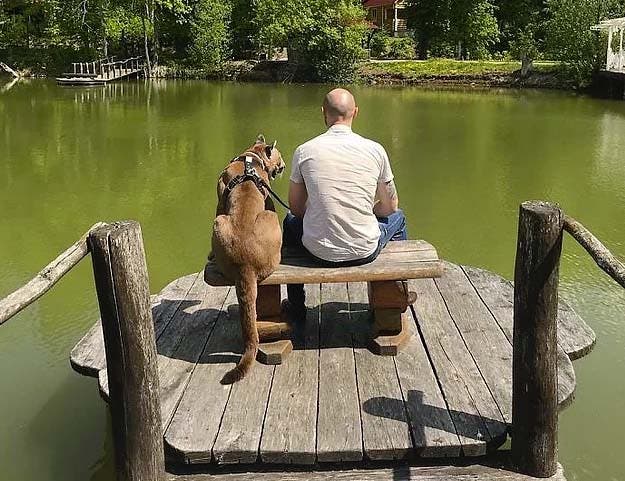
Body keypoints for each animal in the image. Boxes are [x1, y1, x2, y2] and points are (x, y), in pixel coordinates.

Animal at [212, 134, 286, 382]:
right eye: (280, 158)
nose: (283, 166)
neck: (251, 158)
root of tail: (245, 265)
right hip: (270, 216)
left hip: (219, 222)